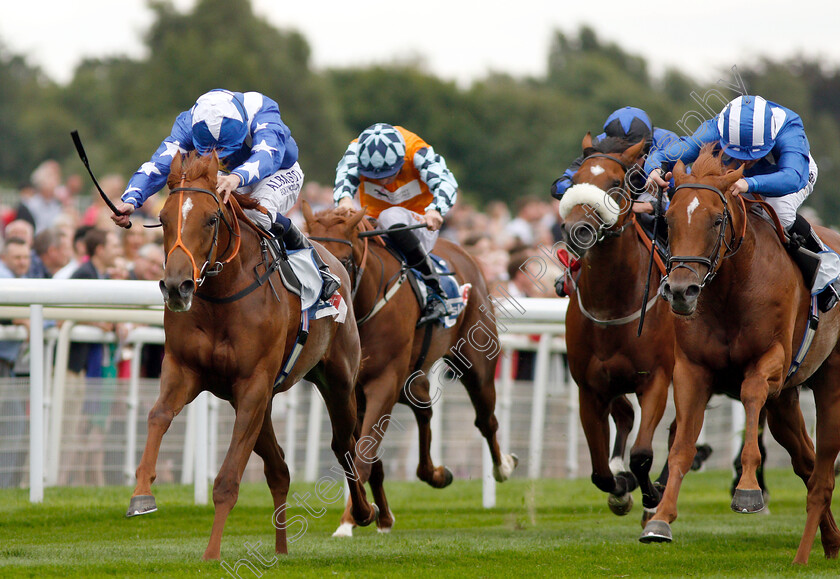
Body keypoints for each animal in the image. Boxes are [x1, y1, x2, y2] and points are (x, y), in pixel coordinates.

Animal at [126, 152, 376, 560]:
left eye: (211, 219)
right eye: (162, 218)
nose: (177, 287)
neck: (222, 298)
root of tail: (334, 258)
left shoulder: (253, 384)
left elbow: (228, 480)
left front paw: (211, 554)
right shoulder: (185, 371)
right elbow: (158, 415)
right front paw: (141, 495)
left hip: (337, 379)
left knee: (344, 446)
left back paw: (363, 512)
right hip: (261, 402)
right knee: (280, 469)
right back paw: (281, 548)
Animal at [302, 203, 520, 536]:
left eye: (345, 260)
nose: (328, 302)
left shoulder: (384, 382)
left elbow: (364, 455)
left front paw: (352, 518)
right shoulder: (352, 390)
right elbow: (366, 454)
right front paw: (376, 515)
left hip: (477, 363)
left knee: (486, 420)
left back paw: (502, 467)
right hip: (412, 378)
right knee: (425, 408)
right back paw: (433, 475)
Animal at [556, 136, 676, 520]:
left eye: (615, 183)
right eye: (574, 179)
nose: (576, 230)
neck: (611, 305)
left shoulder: (656, 379)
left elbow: (642, 453)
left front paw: (651, 496)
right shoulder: (590, 388)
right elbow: (599, 473)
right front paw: (621, 487)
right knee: (625, 415)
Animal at [636, 146, 840, 568]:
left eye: (717, 220)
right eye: (669, 221)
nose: (680, 291)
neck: (732, 288)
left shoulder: (770, 360)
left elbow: (750, 395)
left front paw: (747, 490)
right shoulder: (691, 370)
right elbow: (682, 444)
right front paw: (660, 519)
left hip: (829, 377)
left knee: (819, 460)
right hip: (786, 402)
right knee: (807, 461)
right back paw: (830, 543)